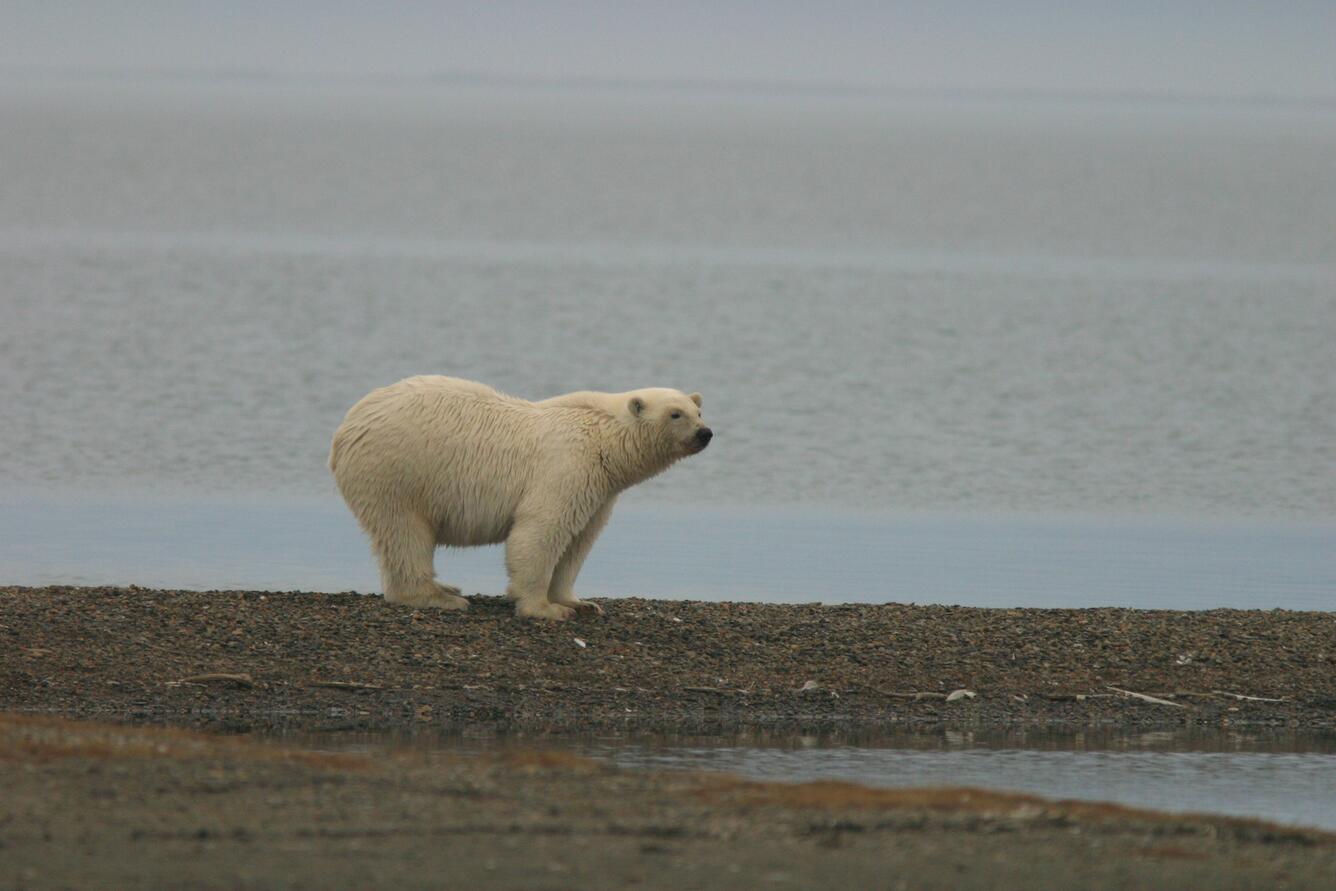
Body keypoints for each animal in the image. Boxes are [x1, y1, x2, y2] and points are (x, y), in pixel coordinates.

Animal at [329, 375, 712, 621]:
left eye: (698, 412)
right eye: (675, 414)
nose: (705, 433)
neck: (603, 437)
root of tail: (346, 428)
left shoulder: (600, 489)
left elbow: (579, 541)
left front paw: (580, 603)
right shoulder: (566, 466)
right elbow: (540, 532)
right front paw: (544, 609)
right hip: (398, 470)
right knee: (405, 532)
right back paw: (440, 597)